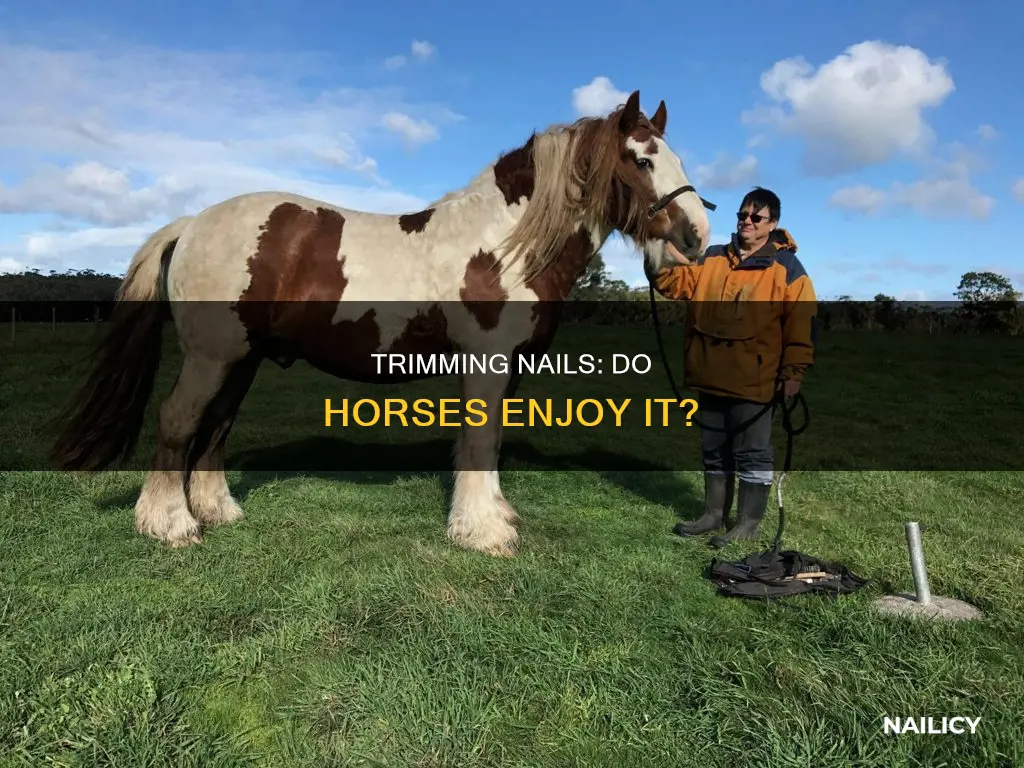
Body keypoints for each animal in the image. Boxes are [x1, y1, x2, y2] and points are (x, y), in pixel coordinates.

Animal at [49, 90, 712, 558]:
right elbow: (479, 442)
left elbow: (491, 441)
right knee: (179, 422)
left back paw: (218, 512)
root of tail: (191, 224)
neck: (503, 244)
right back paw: (170, 524)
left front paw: (494, 516)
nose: (696, 236)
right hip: (213, 356)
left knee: (215, 428)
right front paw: (482, 532)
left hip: (243, 359)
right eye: (641, 159)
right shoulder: (486, 361)